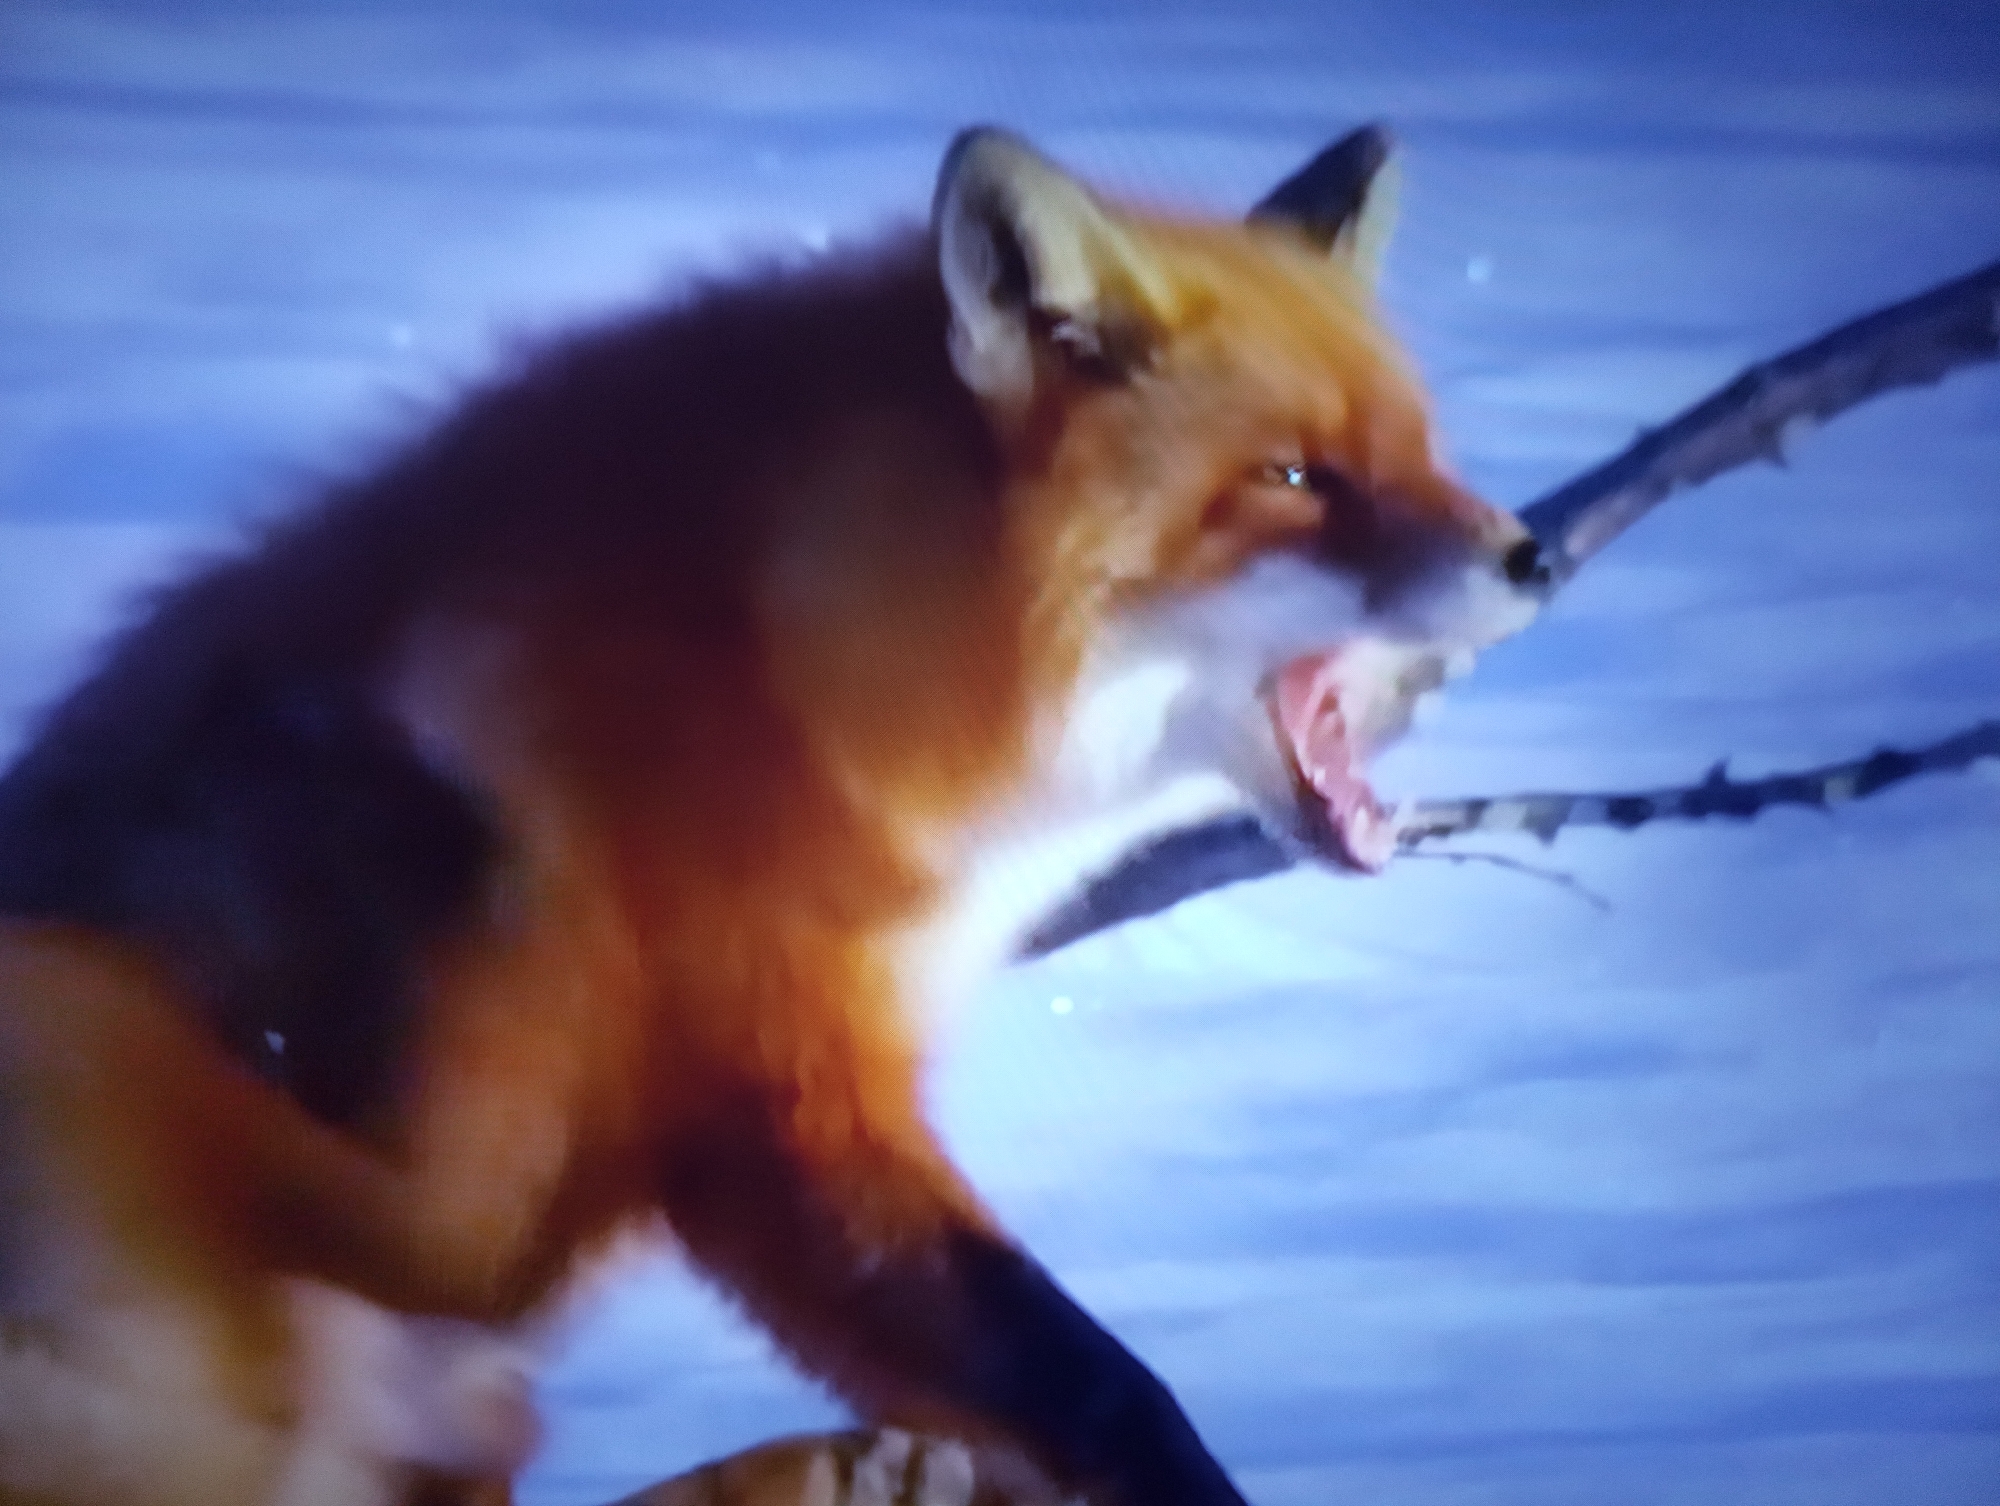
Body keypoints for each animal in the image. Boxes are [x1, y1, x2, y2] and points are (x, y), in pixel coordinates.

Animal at [0, 125, 1545, 1506]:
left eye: (1426, 453)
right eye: (1292, 478)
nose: (1530, 556)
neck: (800, 652)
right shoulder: (779, 1104)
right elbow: (1104, 1390)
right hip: (91, 1041)